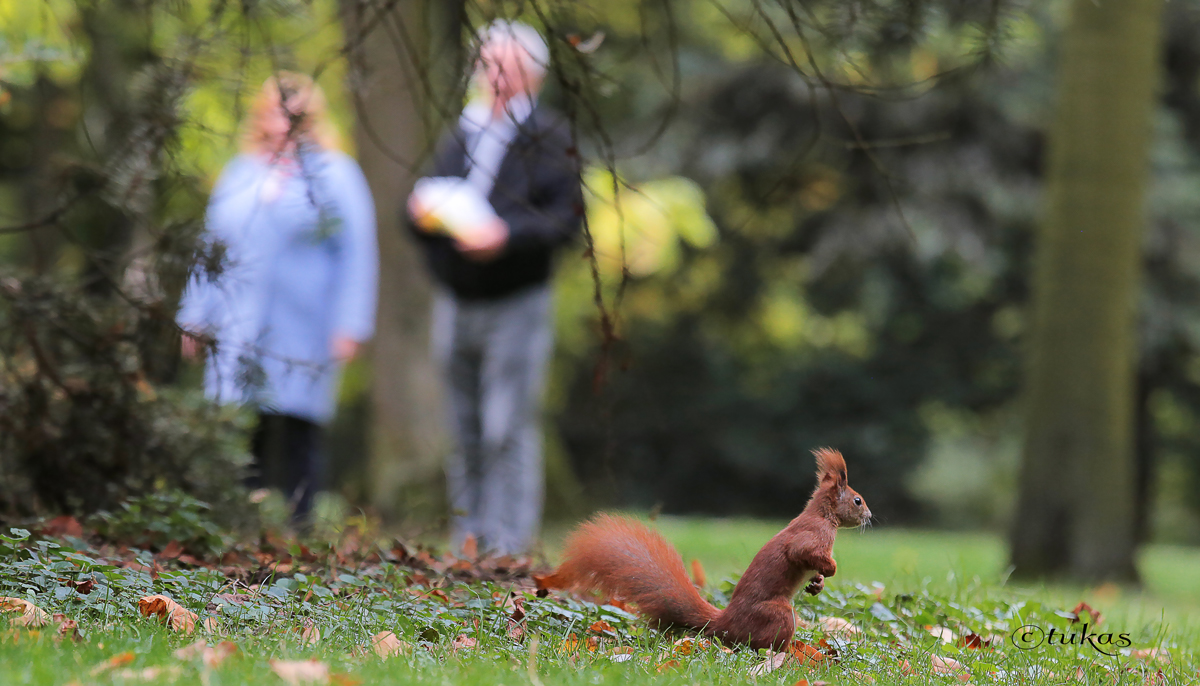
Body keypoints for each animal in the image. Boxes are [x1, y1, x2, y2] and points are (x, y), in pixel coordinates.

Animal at [544, 448, 873, 652]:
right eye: (857, 500)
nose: (869, 516)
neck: (822, 514)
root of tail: (723, 623)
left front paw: (817, 583)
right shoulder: (812, 535)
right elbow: (801, 552)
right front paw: (830, 568)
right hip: (777, 615)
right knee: (760, 644)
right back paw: (789, 655)